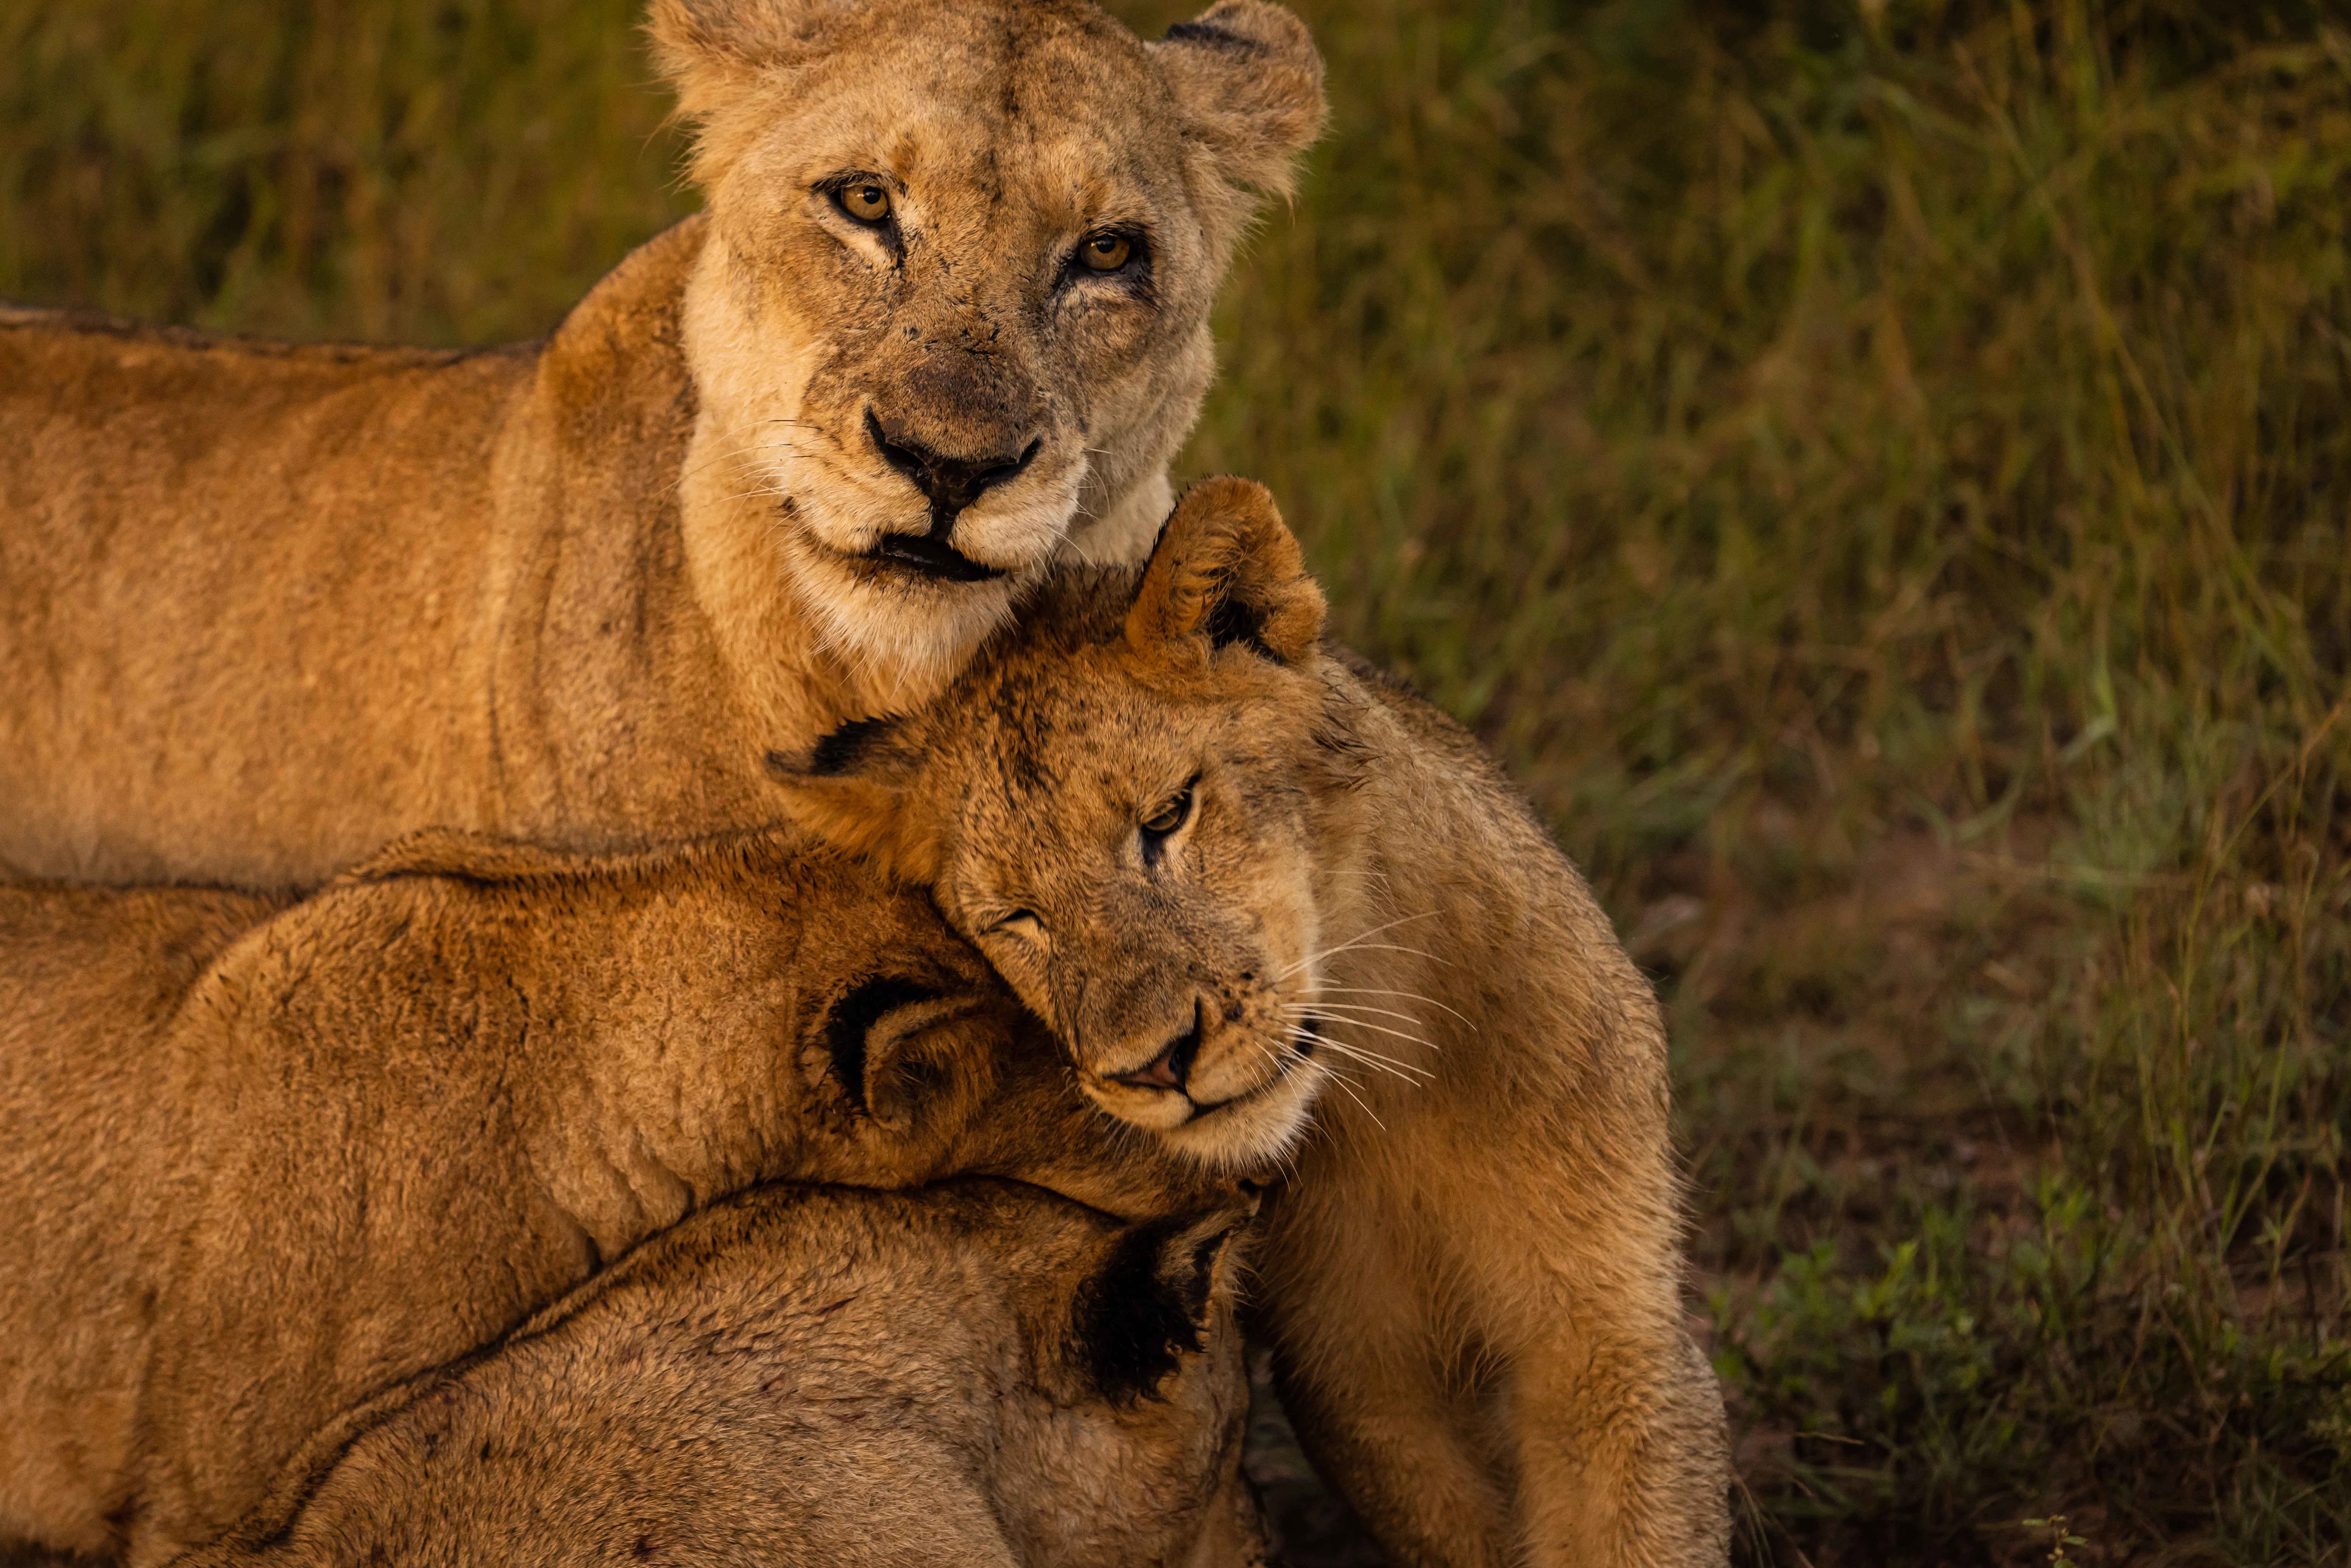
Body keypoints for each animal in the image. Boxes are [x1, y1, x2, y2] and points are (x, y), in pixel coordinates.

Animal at [767, 479, 1736, 1568]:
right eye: (1016, 919)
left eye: (1167, 816)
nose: (1153, 1065)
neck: (1389, 1077)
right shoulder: (1357, 1375)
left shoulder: (1607, 1334)